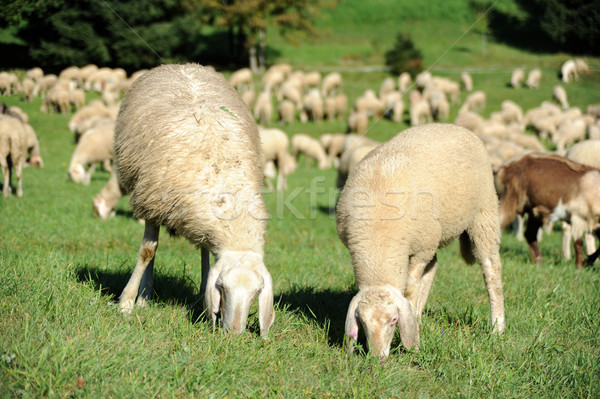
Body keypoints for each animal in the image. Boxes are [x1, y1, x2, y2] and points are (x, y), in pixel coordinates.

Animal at [114, 64, 274, 340]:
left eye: (256, 293)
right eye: (221, 286)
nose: (233, 335)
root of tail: (183, 65)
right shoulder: (153, 199)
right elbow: (147, 251)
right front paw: (126, 303)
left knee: (204, 250)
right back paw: (144, 297)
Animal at [338, 125, 506, 362]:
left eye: (394, 320)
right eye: (361, 322)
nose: (377, 358)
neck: (378, 240)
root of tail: (457, 127)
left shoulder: (420, 249)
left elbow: (410, 289)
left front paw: (411, 342)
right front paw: (414, 328)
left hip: (484, 213)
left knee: (491, 270)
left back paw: (497, 328)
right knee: (433, 266)